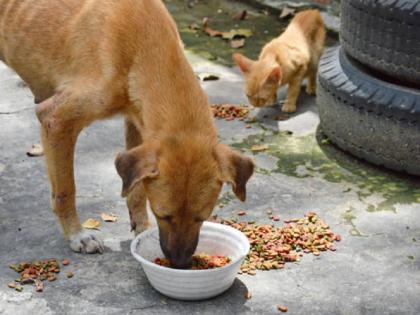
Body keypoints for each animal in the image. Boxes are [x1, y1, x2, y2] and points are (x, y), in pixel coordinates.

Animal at [0, 0, 253, 270]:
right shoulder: (56, 120)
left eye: (202, 217)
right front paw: (77, 235)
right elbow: (66, 190)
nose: (180, 264)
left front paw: (142, 229)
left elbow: (137, 191)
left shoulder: (138, 122)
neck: (145, 46)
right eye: (163, 215)